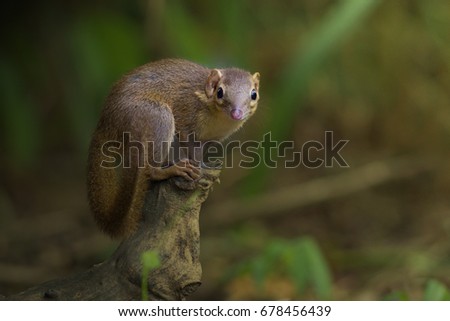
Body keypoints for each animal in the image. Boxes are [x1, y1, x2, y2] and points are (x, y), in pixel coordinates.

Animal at [86, 58, 260, 238]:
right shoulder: (185, 117)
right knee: (152, 171)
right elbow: (189, 147)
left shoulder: (211, 139)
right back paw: (175, 169)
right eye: (220, 92)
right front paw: (196, 168)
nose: (236, 113)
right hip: (159, 117)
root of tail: (105, 124)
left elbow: (200, 152)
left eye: (253, 94)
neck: (219, 122)